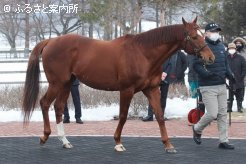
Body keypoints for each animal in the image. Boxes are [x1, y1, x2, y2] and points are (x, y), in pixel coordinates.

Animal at [21, 17, 213, 153]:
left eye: (203, 35)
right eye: (194, 37)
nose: (210, 57)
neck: (143, 53)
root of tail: (51, 41)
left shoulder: (151, 89)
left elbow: (159, 115)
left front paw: (168, 145)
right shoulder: (126, 90)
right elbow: (122, 116)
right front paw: (118, 143)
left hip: (67, 83)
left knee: (59, 107)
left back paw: (65, 142)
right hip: (57, 83)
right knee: (45, 103)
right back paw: (44, 137)